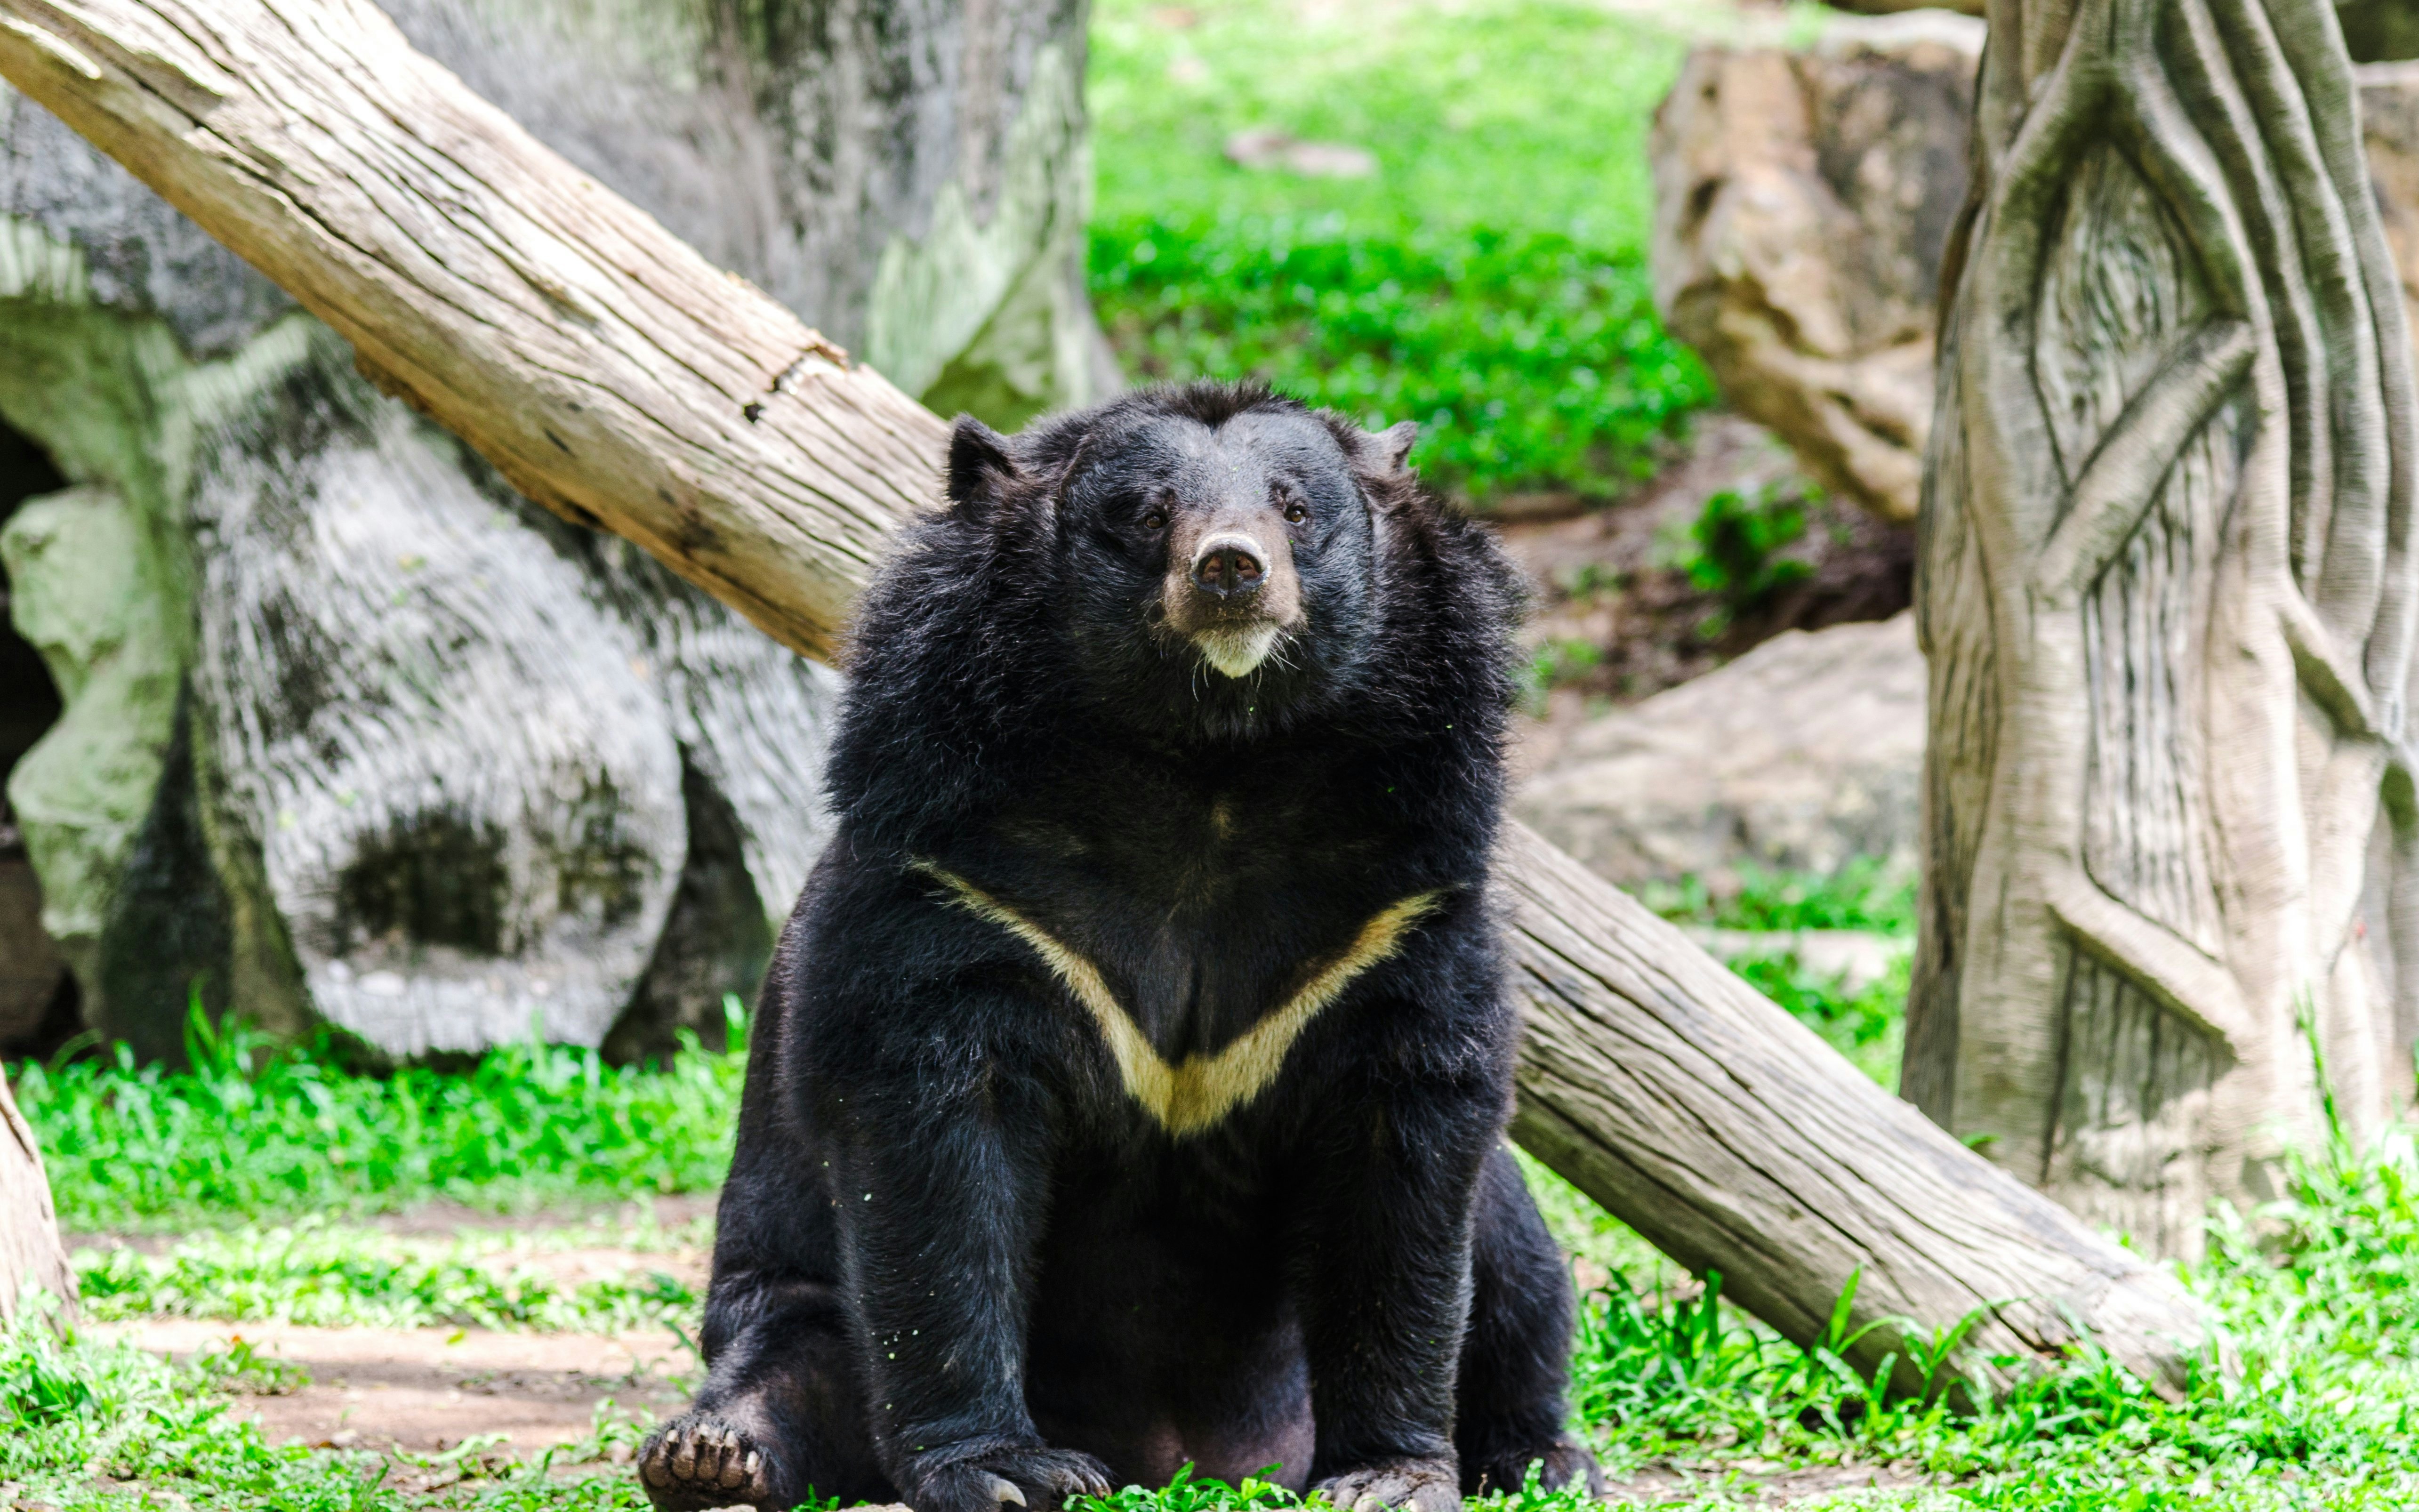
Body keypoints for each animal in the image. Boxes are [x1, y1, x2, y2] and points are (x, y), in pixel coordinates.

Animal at [638, 382, 1601, 1512]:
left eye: (1295, 507)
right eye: (1147, 513)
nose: (1230, 569)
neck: (1208, 763)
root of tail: (1195, 1456)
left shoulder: (1395, 909)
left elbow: (1402, 1164)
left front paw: (1389, 1475)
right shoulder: (961, 886)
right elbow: (937, 1165)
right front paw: (1006, 1470)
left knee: (1517, 1263)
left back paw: (1540, 1454)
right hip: (791, 1275)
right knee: (792, 1349)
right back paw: (712, 1455)